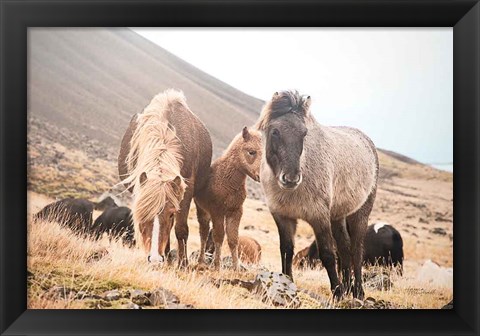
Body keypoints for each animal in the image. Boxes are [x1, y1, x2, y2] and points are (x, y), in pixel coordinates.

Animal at [118, 88, 212, 266]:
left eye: (170, 214)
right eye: (142, 214)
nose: (155, 259)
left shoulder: (186, 190)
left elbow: (180, 228)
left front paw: (183, 264)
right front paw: (168, 258)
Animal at [256, 89, 376, 300]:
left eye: (304, 133)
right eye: (275, 132)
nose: (291, 178)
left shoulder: (318, 217)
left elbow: (327, 254)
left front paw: (337, 293)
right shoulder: (283, 217)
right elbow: (286, 250)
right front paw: (286, 284)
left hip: (359, 214)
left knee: (356, 249)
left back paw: (358, 291)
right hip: (337, 216)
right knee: (344, 247)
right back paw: (348, 286)